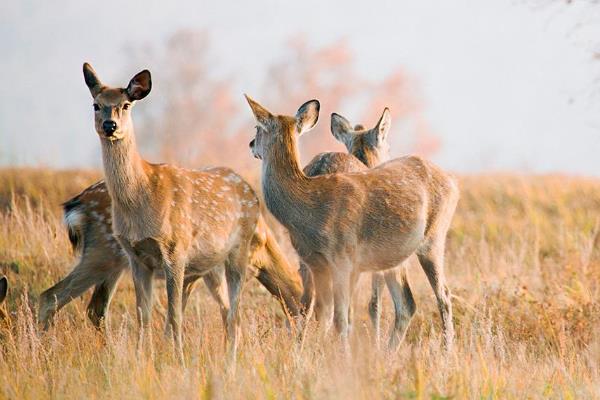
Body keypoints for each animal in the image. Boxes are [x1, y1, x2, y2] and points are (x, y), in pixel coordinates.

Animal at [41, 181, 304, 332]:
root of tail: (77, 204)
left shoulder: (195, 271)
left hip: (114, 262)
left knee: (95, 309)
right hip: (103, 253)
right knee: (49, 297)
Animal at [79, 64, 260, 360]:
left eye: (126, 104)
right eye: (96, 105)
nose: (109, 125)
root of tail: (251, 192)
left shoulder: (176, 248)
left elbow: (174, 315)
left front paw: (179, 359)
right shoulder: (135, 256)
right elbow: (143, 314)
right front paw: (142, 357)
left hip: (240, 247)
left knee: (235, 312)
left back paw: (231, 359)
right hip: (211, 264)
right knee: (226, 309)